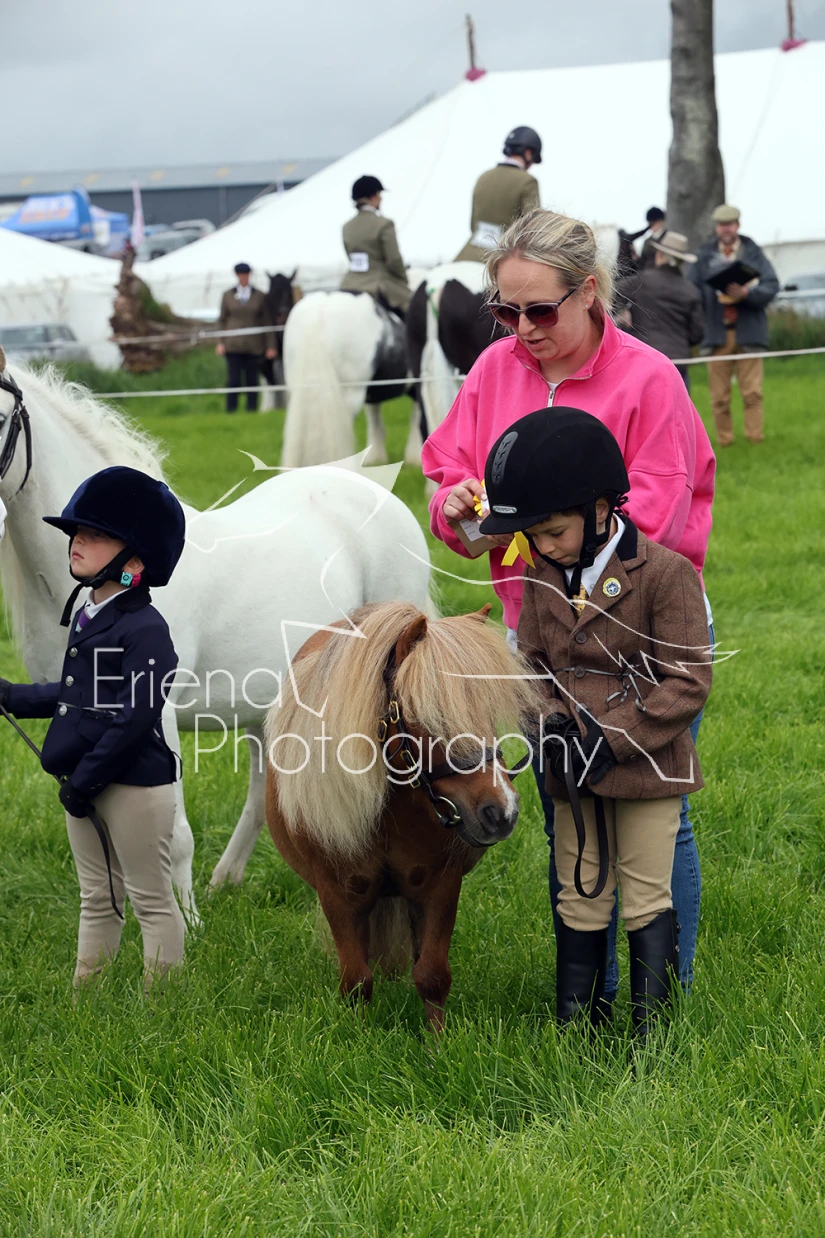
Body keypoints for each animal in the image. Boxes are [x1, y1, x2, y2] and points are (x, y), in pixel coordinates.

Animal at [0, 358, 432, 921]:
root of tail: (376, 492)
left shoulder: (153, 714)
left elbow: (171, 835)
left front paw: (185, 925)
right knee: (267, 793)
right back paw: (228, 880)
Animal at [264, 599, 542, 1030]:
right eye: (424, 715)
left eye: (488, 714)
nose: (503, 812)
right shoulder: (338, 894)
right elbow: (357, 981)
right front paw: (360, 1038)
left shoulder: (439, 886)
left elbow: (431, 974)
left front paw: (437, 1041)